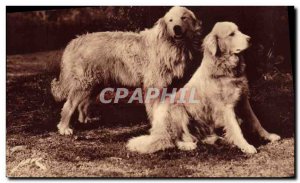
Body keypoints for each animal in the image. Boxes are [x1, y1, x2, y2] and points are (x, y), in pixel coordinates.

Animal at [51, 6, 202, 134]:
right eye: (170, 20)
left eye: (183, 18)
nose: (176, 28)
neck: (170, 44)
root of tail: (75, 41)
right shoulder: (155, 85)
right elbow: (155, 109)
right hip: (84, 83)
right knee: (69, 105)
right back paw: (64, 128)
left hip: (95, 84)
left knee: (82, 104)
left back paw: (85, 120)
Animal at [127, 21, 282, 154]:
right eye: (232, 34)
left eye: (238, 30)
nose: (250, 39)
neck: (226, 68)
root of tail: (157, 130)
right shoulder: (227, 107)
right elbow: (236, 129)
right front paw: (246, 146)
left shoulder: (244, 101)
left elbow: (256, 121)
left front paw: (269, 136)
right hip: (177, 110)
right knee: (172, 139)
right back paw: (188, 145)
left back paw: (212, 139)